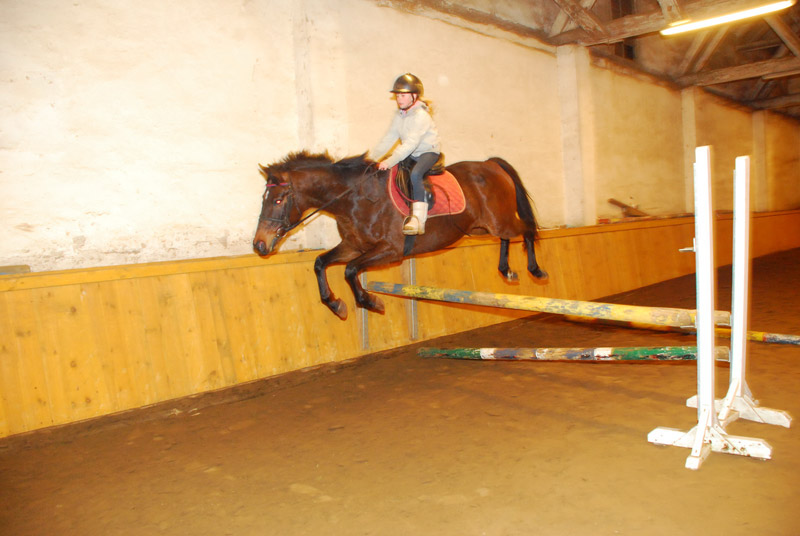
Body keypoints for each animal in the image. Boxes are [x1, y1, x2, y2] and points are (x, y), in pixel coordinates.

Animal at [253, 151, 547, 320]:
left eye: (278, 200)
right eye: (264, 198)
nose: (259, 245)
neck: (355, 198)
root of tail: (490, 165)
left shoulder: (389, 250)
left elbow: (350, 270)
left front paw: (371, 301)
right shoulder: (353, 246)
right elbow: (320, 263)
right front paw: (336, 305)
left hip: (499, 222)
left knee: (527, 229)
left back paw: (535, 270)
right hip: (483, 227)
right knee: (508, 236)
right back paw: (506, 269)